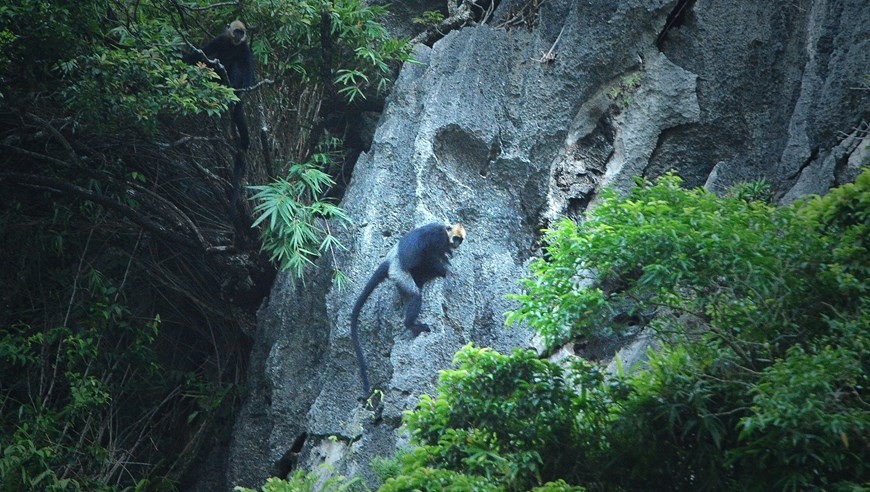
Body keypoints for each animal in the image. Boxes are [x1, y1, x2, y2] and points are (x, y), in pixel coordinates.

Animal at [350, 223, 466, 396]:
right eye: (456, 238)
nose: (457, 243)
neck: (446, 232)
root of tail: (391, 259)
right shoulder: (437, 240)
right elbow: (430, 255)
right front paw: (443, 268)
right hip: (399, 272)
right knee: (415, 293)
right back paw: (412, 324)